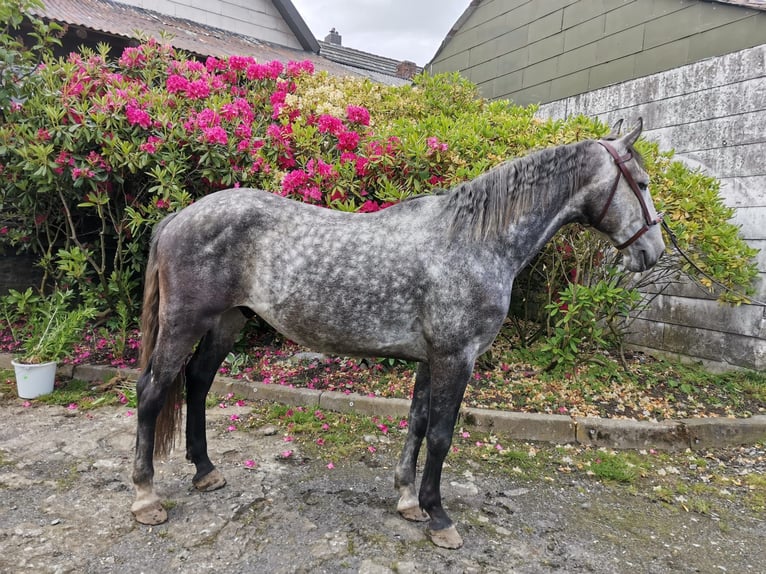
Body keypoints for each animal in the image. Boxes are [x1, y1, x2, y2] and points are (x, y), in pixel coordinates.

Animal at [132, 120, 664, 548]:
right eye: (640, 183)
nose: (654, 252)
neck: (475, 240)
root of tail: (180, 216)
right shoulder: (456, 356)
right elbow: (443, 436)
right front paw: (439, 516)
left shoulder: (432, 358)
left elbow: (418, 423)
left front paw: (408, 499)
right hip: (184, 323)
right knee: (152, 392)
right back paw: (145, 496)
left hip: (227, 321)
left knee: (198, 382)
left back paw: (205, 471)